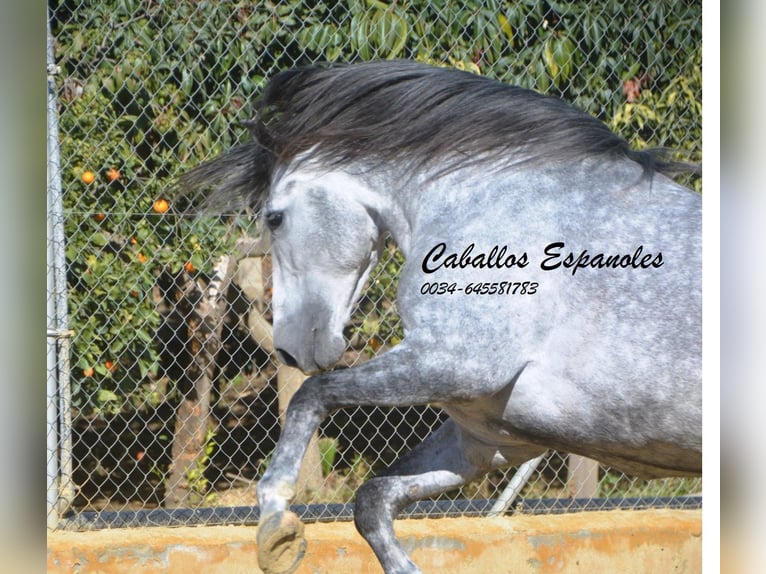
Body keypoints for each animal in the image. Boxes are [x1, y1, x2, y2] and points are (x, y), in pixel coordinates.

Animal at [182, 60, 704, 572]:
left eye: (274, 217)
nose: (290, 348)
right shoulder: (488, 438)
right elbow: (372, 500)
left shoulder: (455, 363)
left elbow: (311, 395)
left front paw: (276, 524)